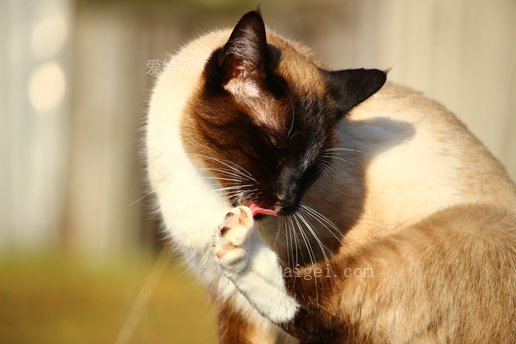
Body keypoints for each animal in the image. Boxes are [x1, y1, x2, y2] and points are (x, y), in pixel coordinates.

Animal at [145, 9, 516, 342]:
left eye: (313, 167)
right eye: (274, 146)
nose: (286, 201)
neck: (203, 184)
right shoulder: (234, 308)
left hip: (469, 227)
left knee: (315, 301)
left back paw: (237, 244)